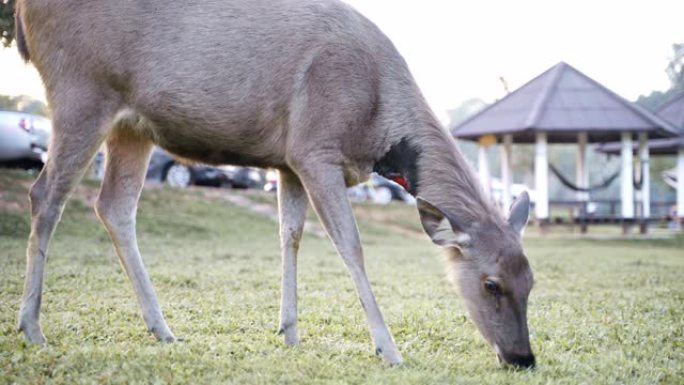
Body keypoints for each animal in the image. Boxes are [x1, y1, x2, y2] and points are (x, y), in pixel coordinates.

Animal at [12, 0, 536, 368]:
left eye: (531, 282)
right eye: (490, 284)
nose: (522, 358)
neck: (377, 126)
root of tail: (22, 12)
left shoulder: (287, 162)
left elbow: (290, 235)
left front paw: (289, 331)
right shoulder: (315, 148)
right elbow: (350, 246)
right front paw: (388, 348)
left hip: (133, 127)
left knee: (114, 206)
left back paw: (161, 328)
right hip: (81, 90)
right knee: (45, 194)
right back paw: (32, 326)